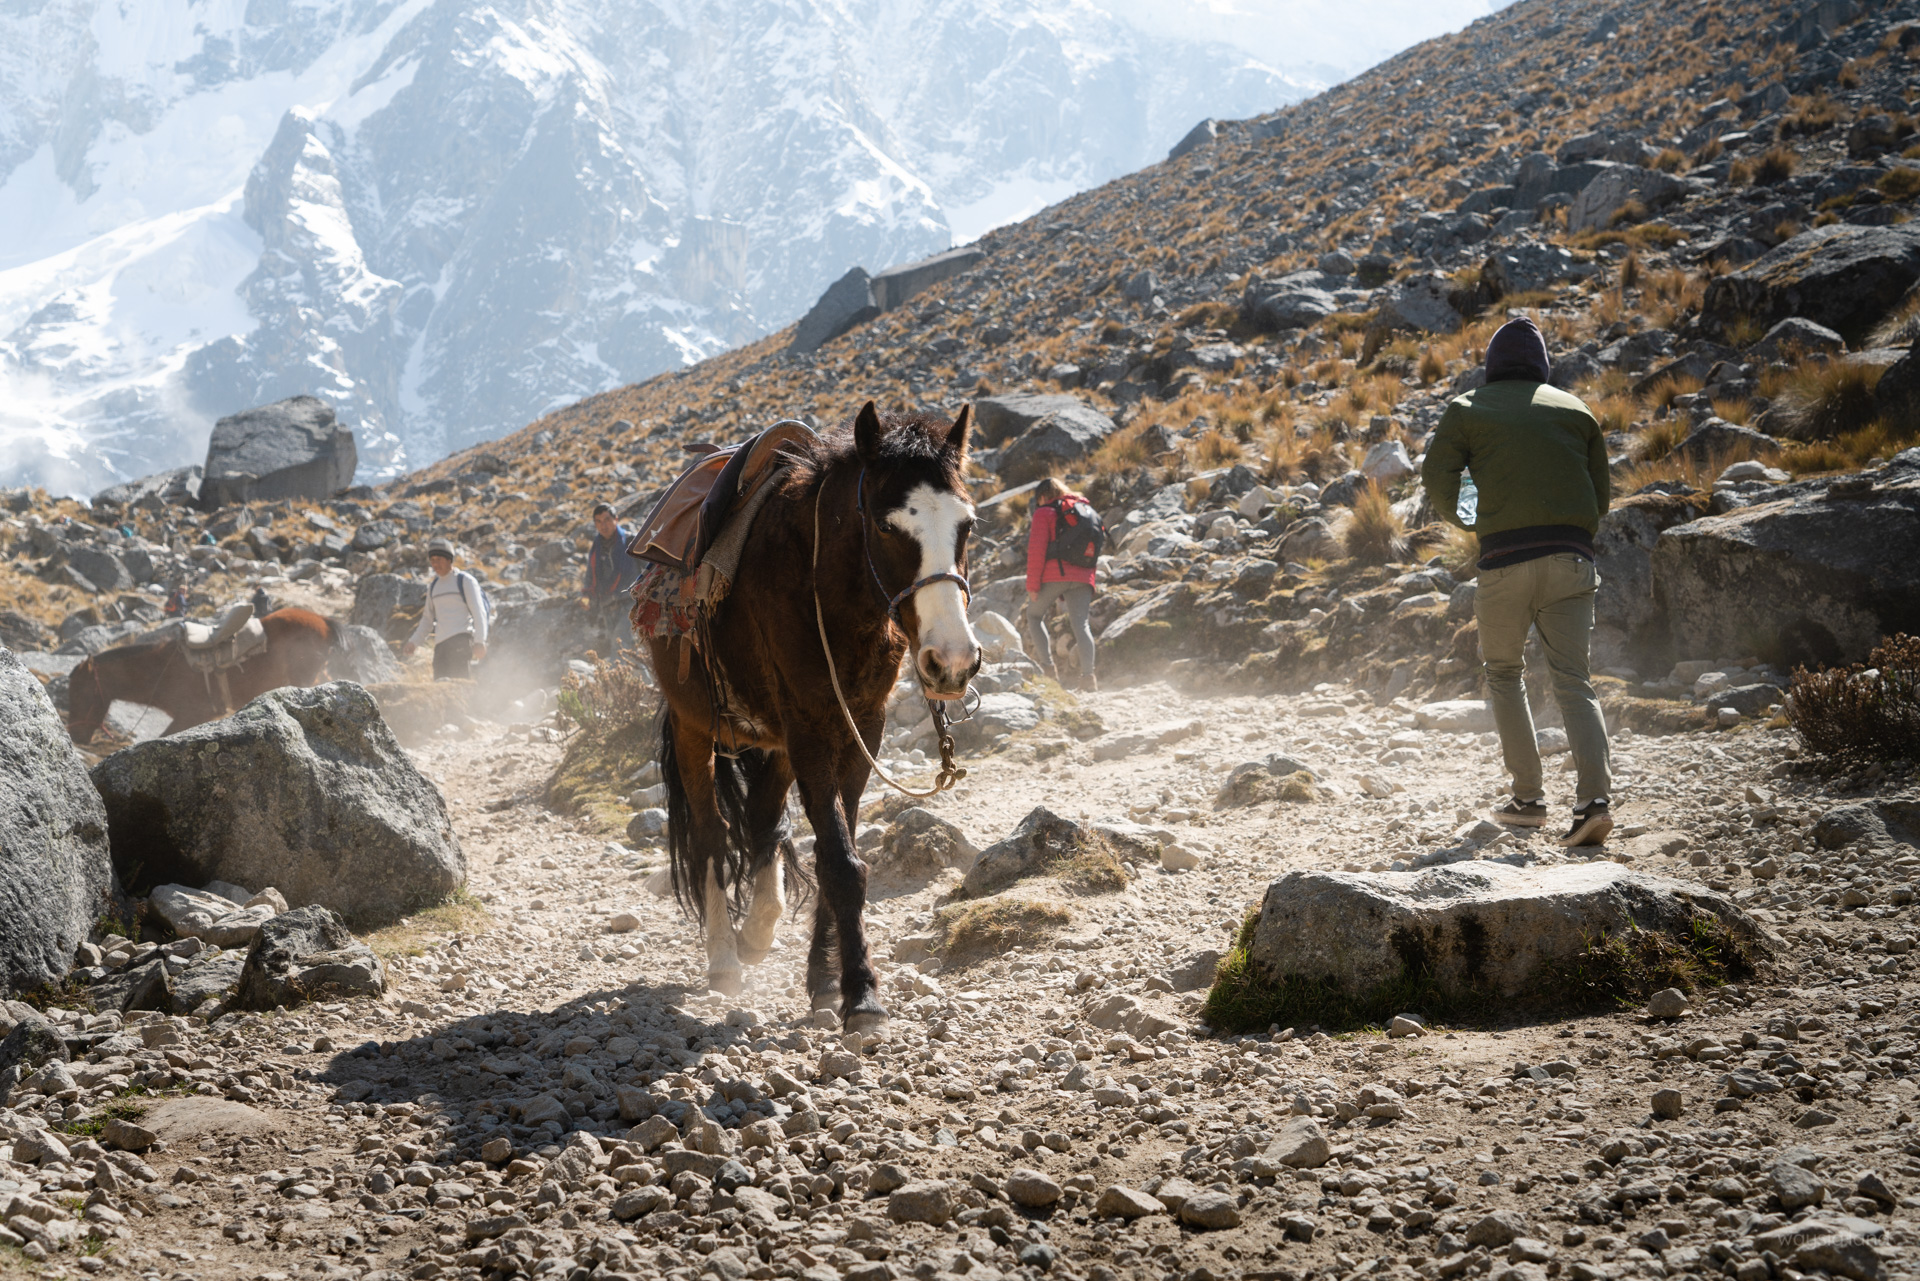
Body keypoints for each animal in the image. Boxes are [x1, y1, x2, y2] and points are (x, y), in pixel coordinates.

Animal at [652, 401, 983, 1029]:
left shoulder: (862, 727)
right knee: (711, 833)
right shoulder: (808, 726)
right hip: (695, 728)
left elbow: (840, 846)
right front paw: (861, 994)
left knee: (761, 818)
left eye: (968, 524)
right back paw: (725, 959)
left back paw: (759, 929)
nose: (952, 662)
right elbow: (840, 861)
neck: (829, 596)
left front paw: (826, 980)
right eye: (886, 526)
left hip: (776, 743)